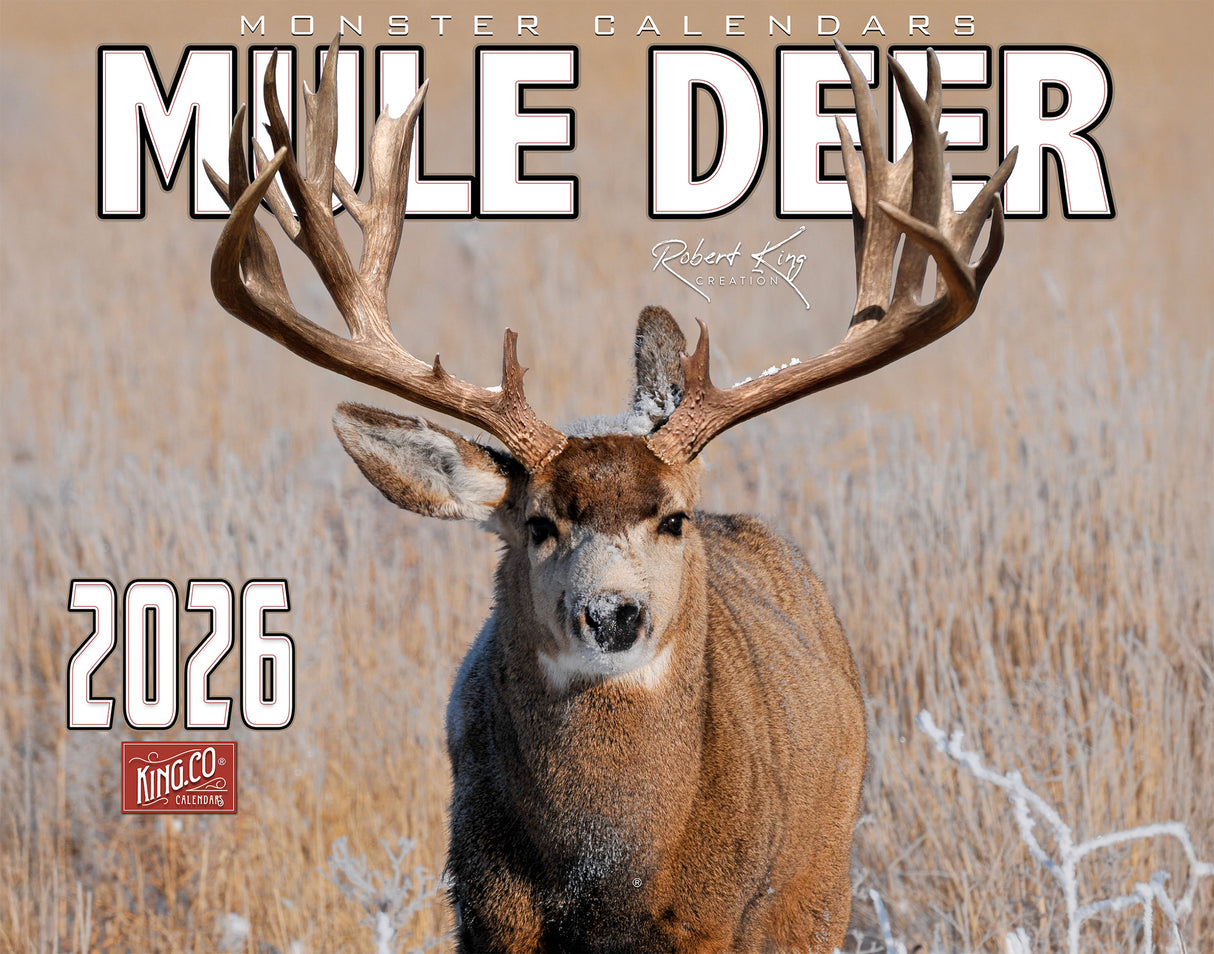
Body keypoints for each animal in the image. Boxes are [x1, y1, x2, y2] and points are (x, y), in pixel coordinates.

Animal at [203, 38, 1015, 954]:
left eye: (672, 519)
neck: (610, 873)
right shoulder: (486, 905)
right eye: (539, 524)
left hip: (819, 890)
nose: (611, 613)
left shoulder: (713, 918)